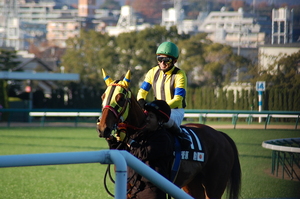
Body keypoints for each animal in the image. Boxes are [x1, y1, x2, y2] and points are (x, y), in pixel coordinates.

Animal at [97, 69, 243, 199]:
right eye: (103, 97)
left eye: (120, 98)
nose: (103, 128)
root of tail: (220, 135)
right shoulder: (128, 189)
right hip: (192, 184)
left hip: (214, 186)